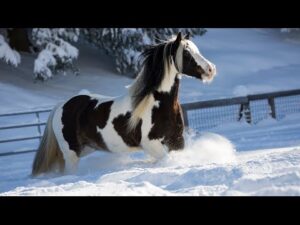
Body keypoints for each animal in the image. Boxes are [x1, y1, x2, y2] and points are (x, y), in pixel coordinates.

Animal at [32, 32, 216, 176]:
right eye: (187, 54)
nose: (211, 69)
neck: (159, 105)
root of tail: (62, 105)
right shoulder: (151, 144)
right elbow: (166, 159)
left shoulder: (177, 141)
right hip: (71, 153)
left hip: (85, 148)